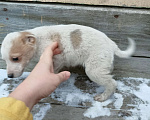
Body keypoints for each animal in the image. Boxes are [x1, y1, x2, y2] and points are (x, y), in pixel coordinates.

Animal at [0, 24, 135, 101]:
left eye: (15, 58)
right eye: (4, 60)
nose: (9, 76)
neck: (38, 40)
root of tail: (111, 44)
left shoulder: (57, 59)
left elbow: (54, 70)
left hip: (94, 69)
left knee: (112, 83)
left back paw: (103, 97)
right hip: (101, 64)